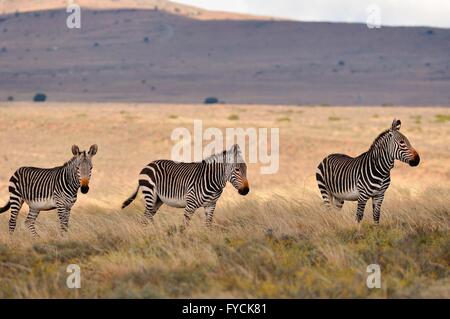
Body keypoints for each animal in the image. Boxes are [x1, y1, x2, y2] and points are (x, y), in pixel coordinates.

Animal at [122, 144, 250, 229]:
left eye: (246, 168)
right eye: (237, 169)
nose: (246, 191)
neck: (213, 182)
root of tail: (148, 164)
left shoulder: (211, 205)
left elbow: (208, 225)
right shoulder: (190, 205)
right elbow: (184, 227)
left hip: (157, 200)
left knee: (148, 217)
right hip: (150, 195)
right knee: (145, 217)